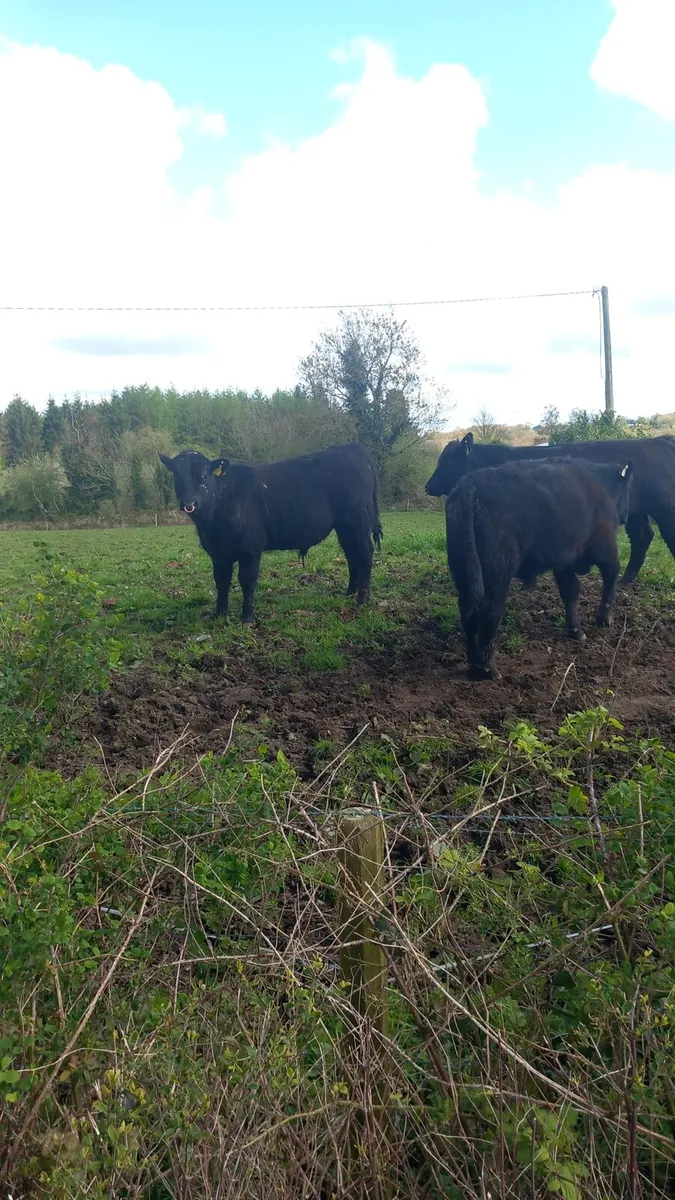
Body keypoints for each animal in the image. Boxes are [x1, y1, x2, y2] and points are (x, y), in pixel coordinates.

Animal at [160, 443, 382, 625]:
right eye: (176, 475)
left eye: (203, 476)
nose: (190, 503)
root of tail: (352, 448)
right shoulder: (218, 553)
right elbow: (221, 582)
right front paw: (220, 615)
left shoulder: (251, 549)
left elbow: (247, 582)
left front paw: (247, 618)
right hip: (344, 527)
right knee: (351, 555)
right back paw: (349, 592)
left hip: (358, 522)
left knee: (364, 555)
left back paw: (362, 599)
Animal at [426, 432, 675, 586]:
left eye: (449, 462)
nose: (428, 486)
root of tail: (660, 441)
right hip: (637, 511)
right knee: (642, 536)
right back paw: (625, 580)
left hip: (664, 508)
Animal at [444, 458, 633, 680]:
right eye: (628, 488)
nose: (625, 516)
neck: (601, 484)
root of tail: (469, 482)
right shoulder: (605, 547)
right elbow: (611, 576)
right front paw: (604, 618)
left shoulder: (564, 562)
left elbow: (570, 592)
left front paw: (576, 630)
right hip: (498, 575)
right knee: (490, 612)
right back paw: (489, 669)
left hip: (464, 573)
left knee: (469, 612)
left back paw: (474, 665)